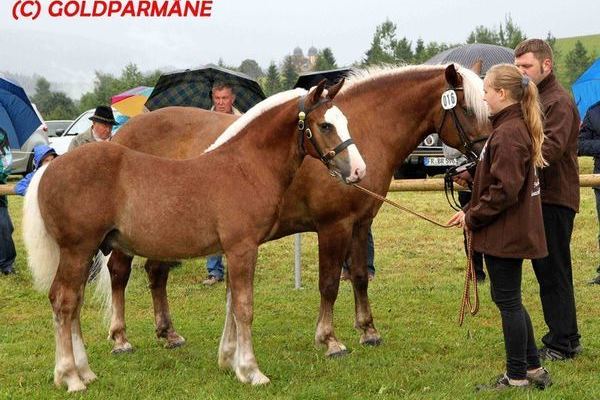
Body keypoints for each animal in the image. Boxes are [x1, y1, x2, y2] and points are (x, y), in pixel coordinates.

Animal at [22, 80, 366, 390]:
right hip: (78, 250)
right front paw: (252, 371)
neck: (244, 167)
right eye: (325, 125)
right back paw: (71, 377)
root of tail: (48, 169)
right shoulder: (242, 248)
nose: (359, 171)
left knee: (74, 302)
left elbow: (231, 303)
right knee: (64, 301)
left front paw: (230, 362)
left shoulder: (232, 250)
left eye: (346, 121)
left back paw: (84, 371)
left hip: (84, 253)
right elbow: (244, 307)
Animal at [105, 64, 490, 358]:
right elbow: (329, 284)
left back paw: (168, 333)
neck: (363, 132)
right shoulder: (333, 226)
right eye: (469, 109)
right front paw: (330, 339)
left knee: (156, 273)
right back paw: (121, 338)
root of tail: (120, 137)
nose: (483, 157)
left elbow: (360, 277)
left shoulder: (360, 224)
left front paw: (368, 330)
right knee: (119, 273)